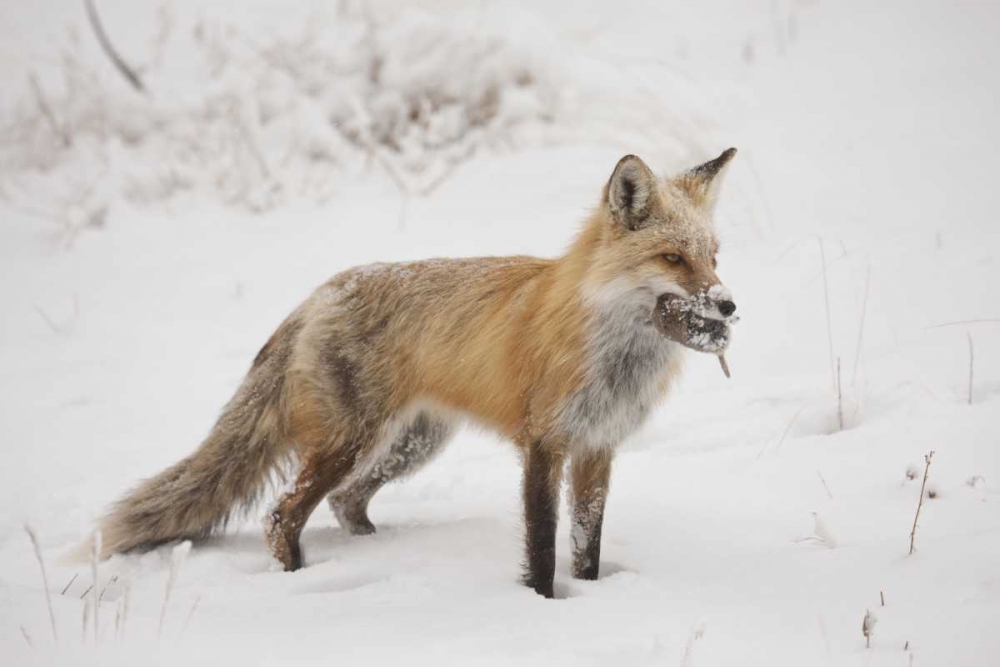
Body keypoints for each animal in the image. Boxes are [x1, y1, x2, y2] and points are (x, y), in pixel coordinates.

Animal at [95, 150, 736, 600]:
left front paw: (593, 595)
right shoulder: (544, 443)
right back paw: (298, 578)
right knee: (281, 516)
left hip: (411, 444)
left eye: (714, 256)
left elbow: (587, 544)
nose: (728, 306)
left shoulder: (598, 447)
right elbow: (542, 543)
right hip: (350, 442)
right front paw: (541, 606)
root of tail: (320, 293)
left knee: (345, 502)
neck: (613, 354)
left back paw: (381, 552)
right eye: (673, 259)